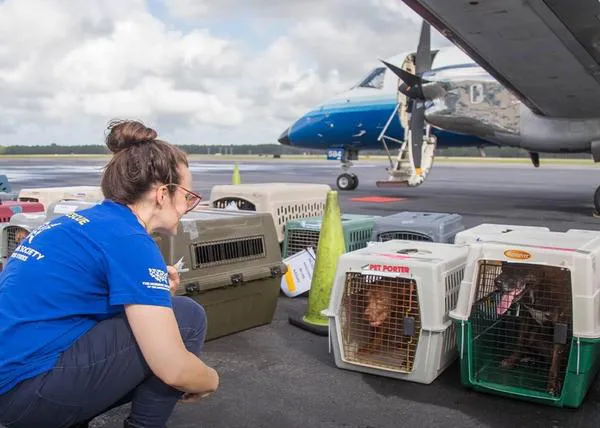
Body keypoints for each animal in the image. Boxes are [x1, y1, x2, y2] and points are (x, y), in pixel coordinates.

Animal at [494, 262, 576, 396]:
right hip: (534, 336)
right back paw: (529, 357)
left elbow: (556, 360)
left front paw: (553, 385)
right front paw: (512, 360)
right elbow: (520, 342)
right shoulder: (525, 314)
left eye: (520, 267)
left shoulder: (561, 324)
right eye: (503, 265)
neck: (539, 286)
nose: (496, 282)